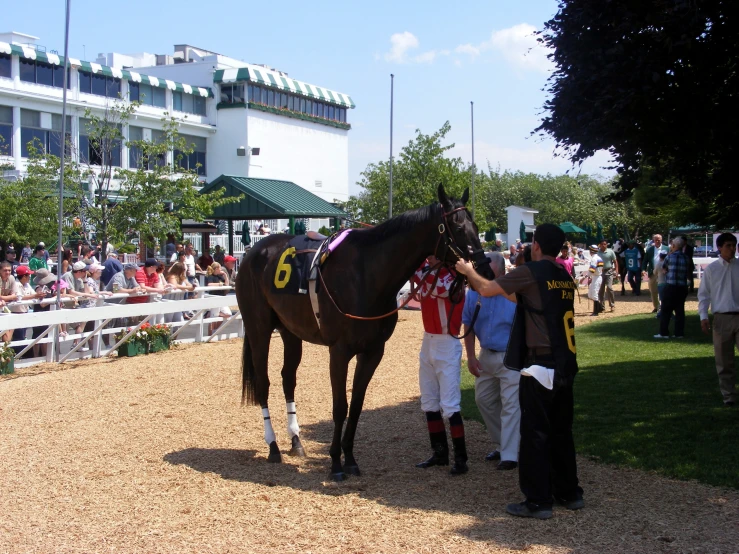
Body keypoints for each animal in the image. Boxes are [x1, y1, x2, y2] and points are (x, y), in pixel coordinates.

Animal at [236, 184, 492, 478]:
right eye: (458, 226)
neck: (366, 274)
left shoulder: (372, 352)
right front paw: (336, 464)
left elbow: (357, 405)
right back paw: (273, 446)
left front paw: (349, 458)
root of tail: (253, 253)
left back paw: (296, 441)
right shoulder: (339, 352)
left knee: (288, 379)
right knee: (263, 383)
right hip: (259, 329)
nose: (484, 270)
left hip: (291, 332)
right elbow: (340, 406)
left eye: (475, 225)